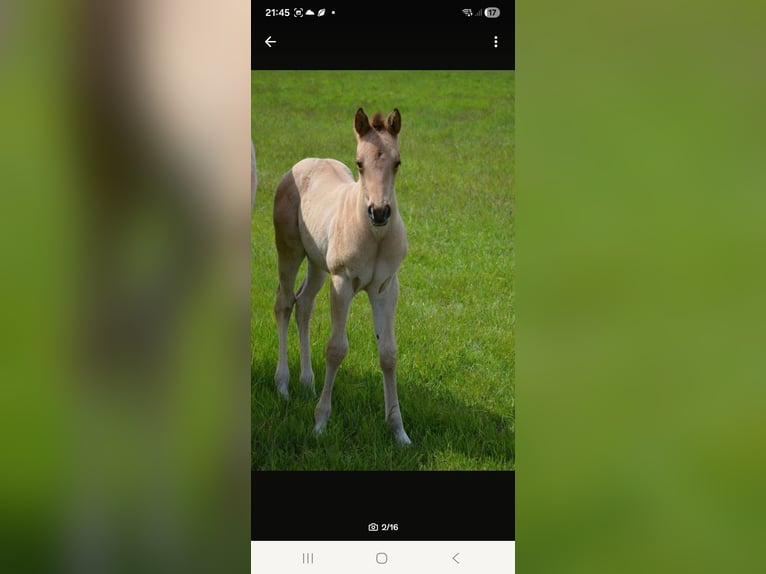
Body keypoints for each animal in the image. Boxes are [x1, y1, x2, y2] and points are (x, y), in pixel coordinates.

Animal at [272, 107, 411, 444]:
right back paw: (283, 385)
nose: (379, 212)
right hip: (290, 251)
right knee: (284, 302)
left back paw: (307, 382)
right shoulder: (342, 283)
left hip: (317, 264)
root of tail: (305, 163)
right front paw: (321, 422)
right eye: (360, 163)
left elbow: (388, 353)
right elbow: (336, 349)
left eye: (397, 162)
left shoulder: (386, 288)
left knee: (304, 304)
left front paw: (398, 431)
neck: (374, 237)